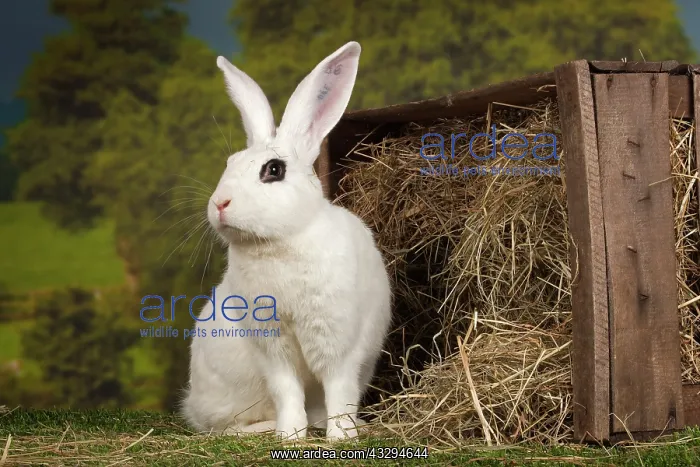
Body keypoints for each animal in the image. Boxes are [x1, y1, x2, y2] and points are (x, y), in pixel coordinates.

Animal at [180, 41, 393, 441]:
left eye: (274, 170)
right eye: (229, 163)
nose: (219, 204)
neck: (279, 243)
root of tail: (191, 405)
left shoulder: (338, 340)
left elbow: (339, 388)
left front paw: (341, 435)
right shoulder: (271, 345)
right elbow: (287, 388)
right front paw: (290, 435)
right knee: (222, 427)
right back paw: (266, 427)